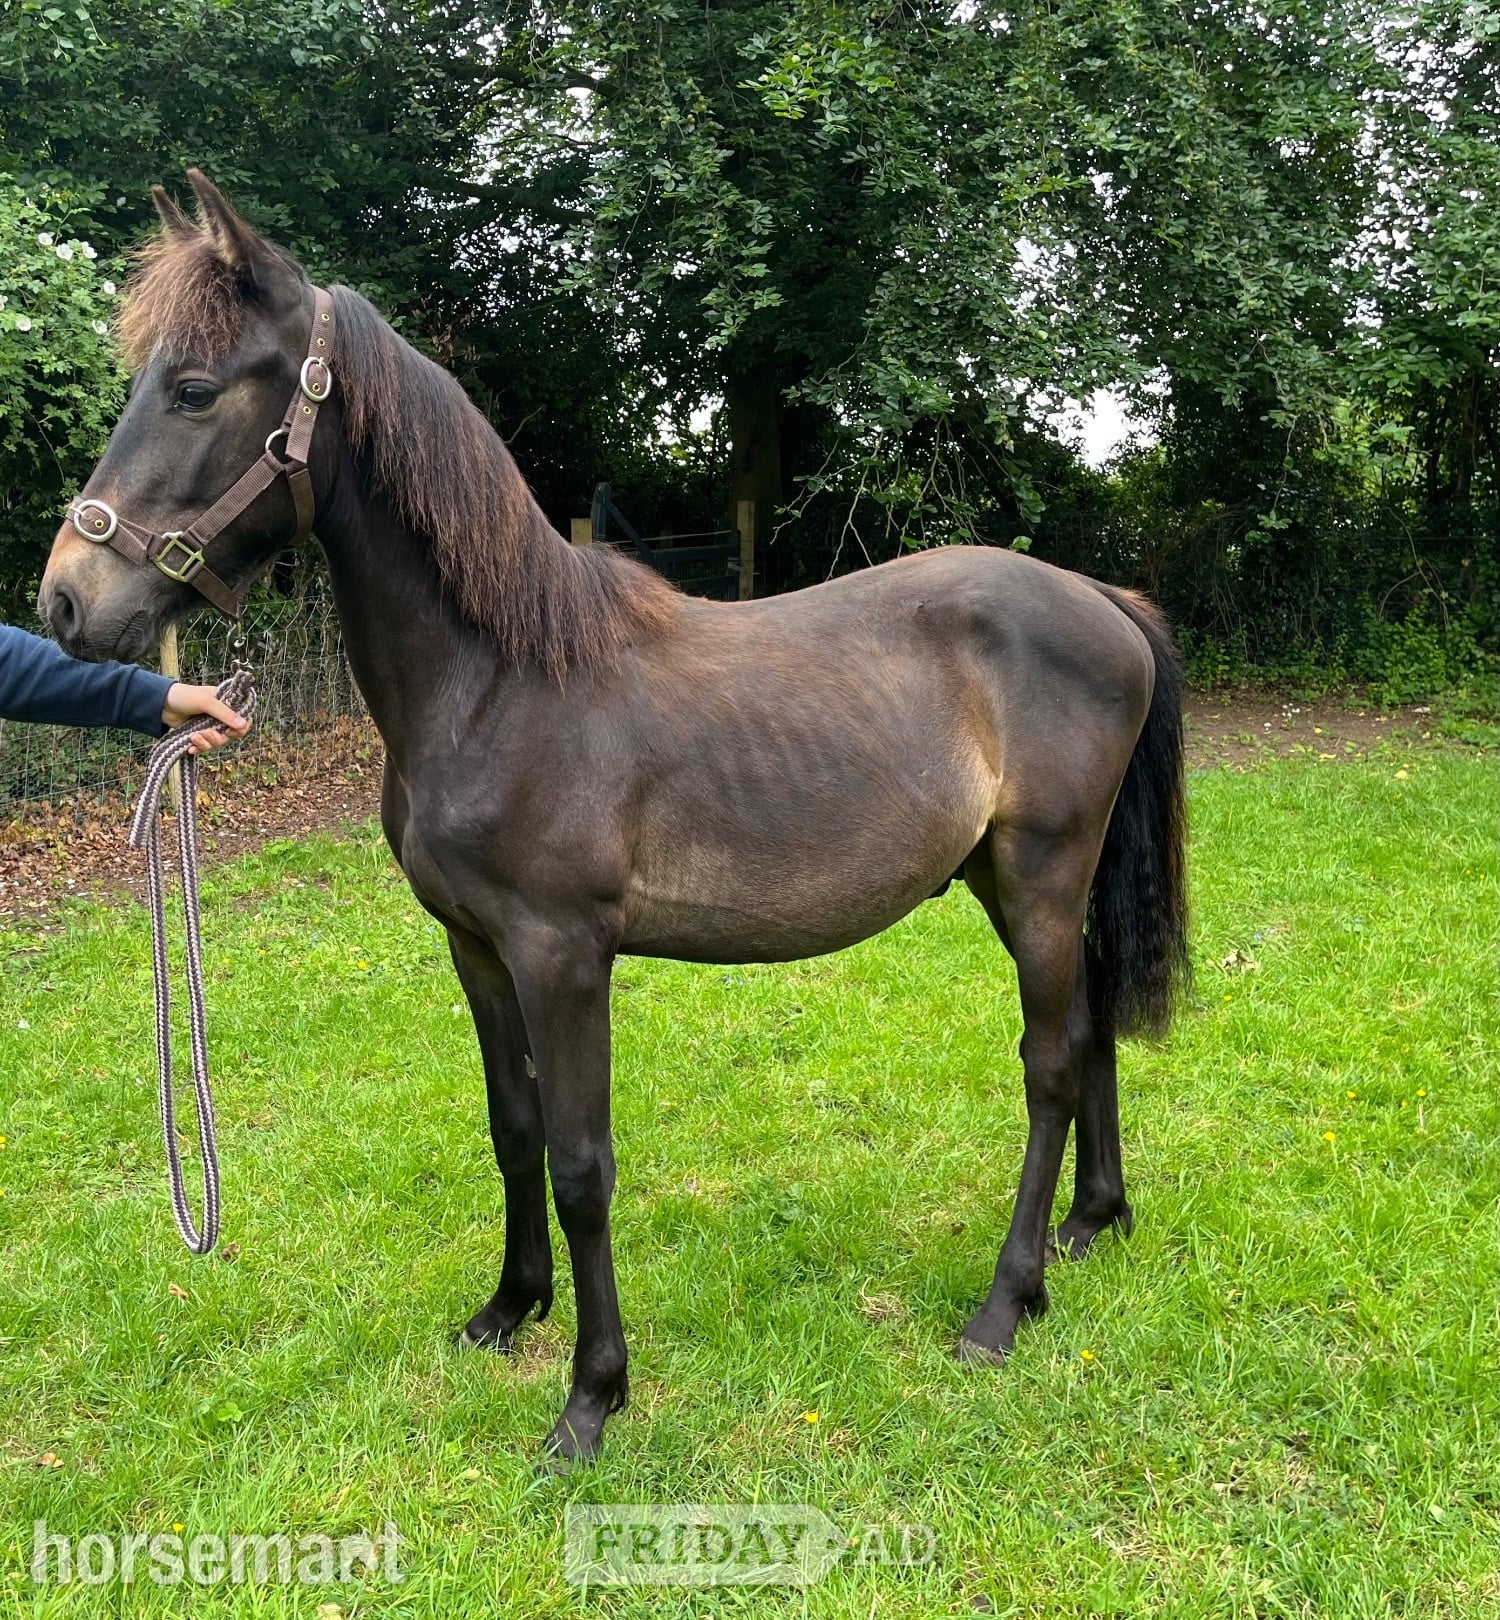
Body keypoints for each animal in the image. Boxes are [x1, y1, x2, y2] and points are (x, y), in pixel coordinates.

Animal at [40, 172, 1189, 1463]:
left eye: (194, 389)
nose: (67, 600)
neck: (500, 678)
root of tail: (1099, 597)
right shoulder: (478, 947)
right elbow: (516, 1130)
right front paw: (509, 1310)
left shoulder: (564, 954)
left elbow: (584, 1164)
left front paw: (592, 1398)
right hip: (1011, 880)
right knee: (1090, 1027)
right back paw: (1094, 1225)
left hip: (1042, 874)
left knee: (1050, 1062)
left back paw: (1005, 1303)